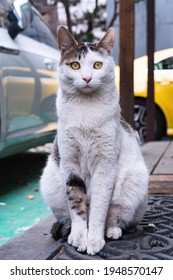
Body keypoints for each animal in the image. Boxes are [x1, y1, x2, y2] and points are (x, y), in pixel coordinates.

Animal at [39, 26, 149, 256]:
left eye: (98, 65)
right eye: (75, 65)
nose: (87, 78)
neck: (86, 108)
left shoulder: (105, 166)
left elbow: (99, 207)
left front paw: (94, 240)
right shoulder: (70, 164)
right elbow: (77, 205)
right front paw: (79, 237)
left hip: (133, 184)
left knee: (118, 218)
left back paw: (112, 230)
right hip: (50, 183)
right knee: (67, 215)